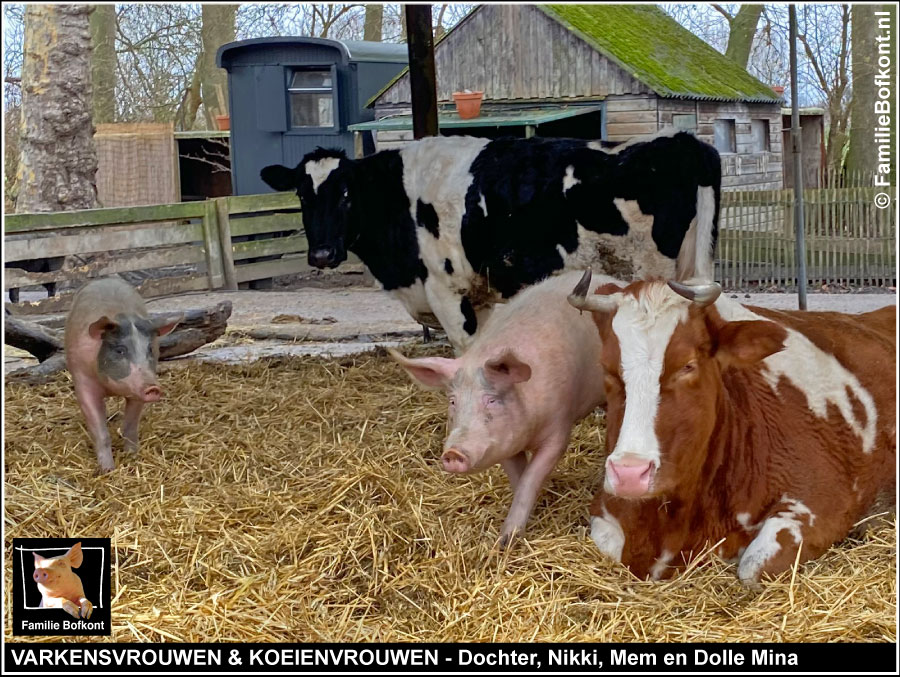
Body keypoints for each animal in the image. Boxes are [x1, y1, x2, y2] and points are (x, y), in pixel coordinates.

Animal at [260, 133, 716, 354]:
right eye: (301, 194)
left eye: (346, 194)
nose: (322, 254)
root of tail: (682, 140)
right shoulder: (478, 291)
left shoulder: (446, 289)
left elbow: (467, 349)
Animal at [390, 270, 616, 544]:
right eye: (453, 401)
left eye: (491, 400)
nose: (453, 453)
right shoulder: (503, 443)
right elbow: (519, 478)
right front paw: (511, 534)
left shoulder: (559, 429)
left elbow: (532, 476)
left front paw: (506, 541)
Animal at [568, 270, 892, 588]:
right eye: (607, 368)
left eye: (688, 365)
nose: (629, 474)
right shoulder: (606, 510)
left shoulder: (823, 501)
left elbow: (752, 568)